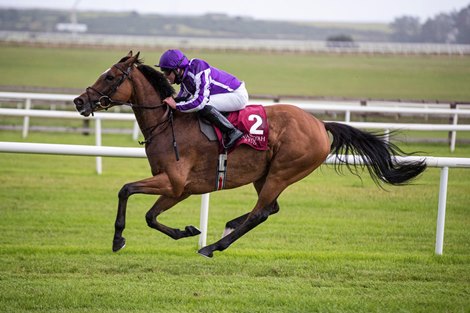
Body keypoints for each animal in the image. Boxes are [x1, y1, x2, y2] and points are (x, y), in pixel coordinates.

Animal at [72, 50, 426, 256]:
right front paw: (186, 231)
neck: (166, 122)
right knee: (270, 209)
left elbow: (127, 192)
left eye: (110, 76)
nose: (79, 101)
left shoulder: (174, 182)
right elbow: (148, 214)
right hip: (265, 173)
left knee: (261, 212)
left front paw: (119, 239)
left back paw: (214, 246)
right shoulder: (180, 188)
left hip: (284, 170)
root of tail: (318, 122)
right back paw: (227, 227)